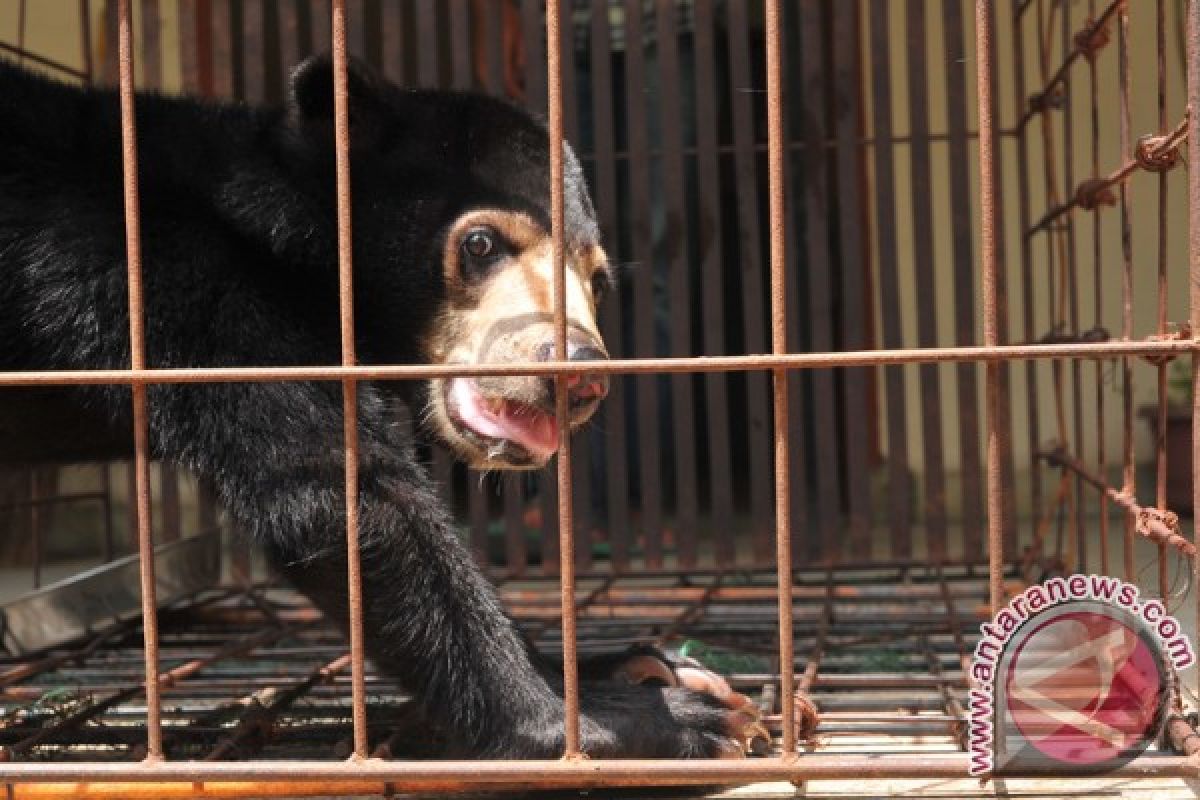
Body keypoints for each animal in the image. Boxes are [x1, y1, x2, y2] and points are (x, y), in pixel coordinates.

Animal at [0, 56, 768, 758]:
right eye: (482, 243)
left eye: (597, 281)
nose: (578, 374)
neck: (280, 246)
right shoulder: (176, 288)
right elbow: (341, 494)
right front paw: (625, 720)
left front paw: (639, 668)